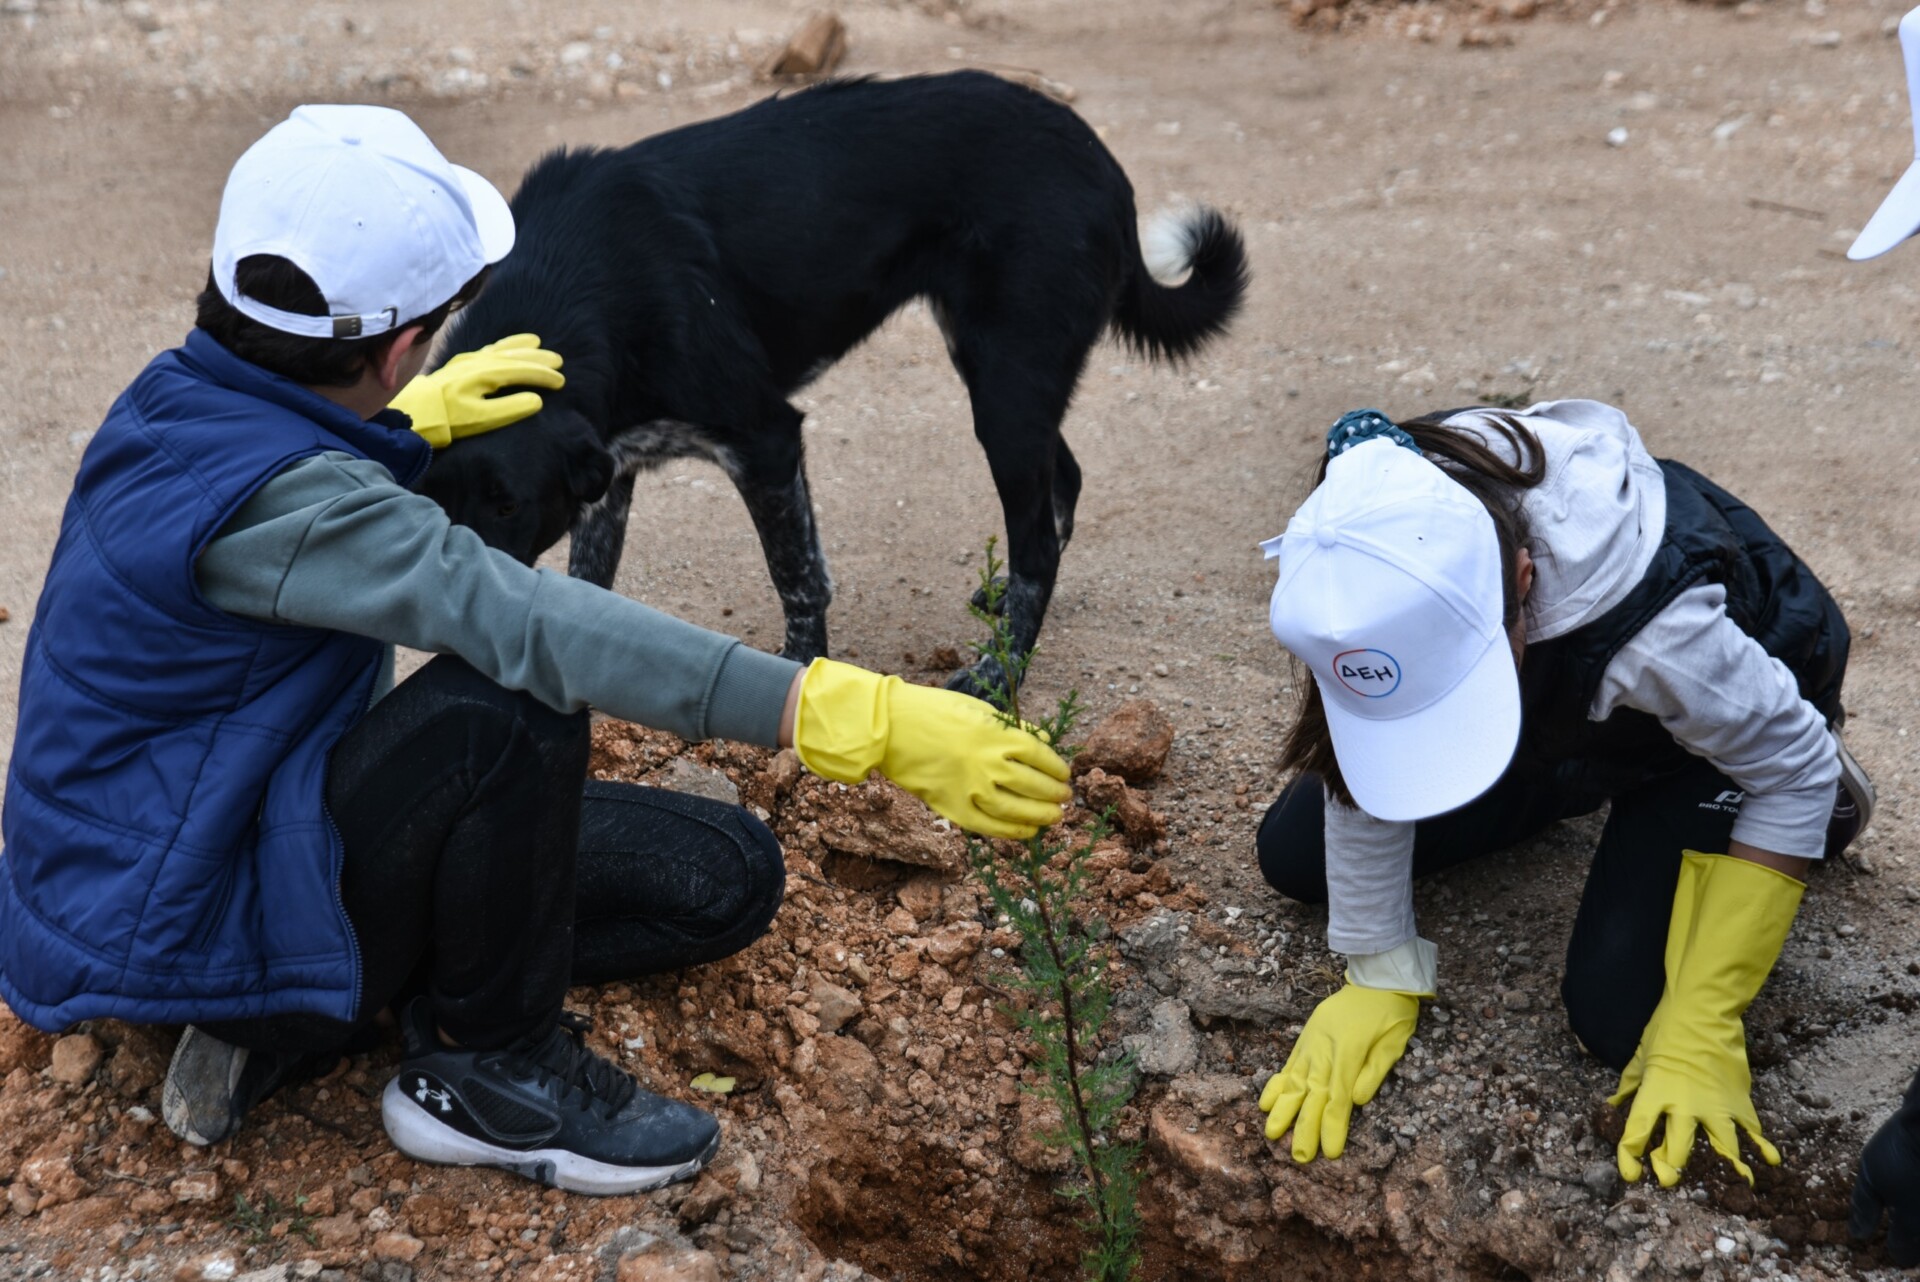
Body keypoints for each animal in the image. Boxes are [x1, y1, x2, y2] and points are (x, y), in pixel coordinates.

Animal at [428, 70, 1251, 690]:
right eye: (431, 500)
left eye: (508, 504)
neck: (573, 281)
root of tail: (1102, 163)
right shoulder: (613, 467)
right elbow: (589, 580)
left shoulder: (765, 439)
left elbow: (797, 576)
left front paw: (803, 672)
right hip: (1000, 371)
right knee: (1062, 486)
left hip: (1006, 389)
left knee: (1037, 546)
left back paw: (1000, 674)